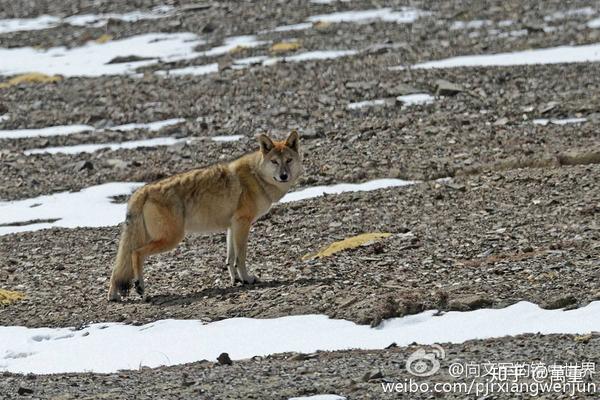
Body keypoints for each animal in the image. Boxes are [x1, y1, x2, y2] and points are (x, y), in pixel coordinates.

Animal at [107, 131, 302, 300]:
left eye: (289, 160)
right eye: (275, 162)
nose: (284, 176)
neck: (256, 177)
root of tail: (140, 191)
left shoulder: (232, 226)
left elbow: (230, 259)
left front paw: (236, 280)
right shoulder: (242, 223)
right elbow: (241, 257)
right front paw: (247, 279)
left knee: (117, 269)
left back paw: (114, 296)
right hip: (171, 239)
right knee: (136, 254)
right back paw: (139, 287)